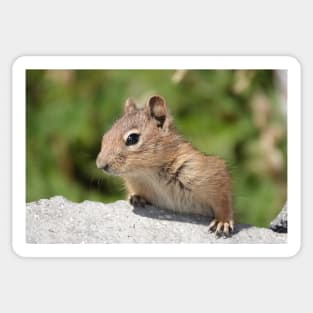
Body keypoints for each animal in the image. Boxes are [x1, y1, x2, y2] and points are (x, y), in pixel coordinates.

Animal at [96, 94, 233, 235]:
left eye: (132, 138)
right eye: (106, 135)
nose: (100, 165)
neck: (148, 173)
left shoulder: (210, 171)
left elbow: (223, 201)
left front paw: (223, 221)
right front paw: (136, 197)